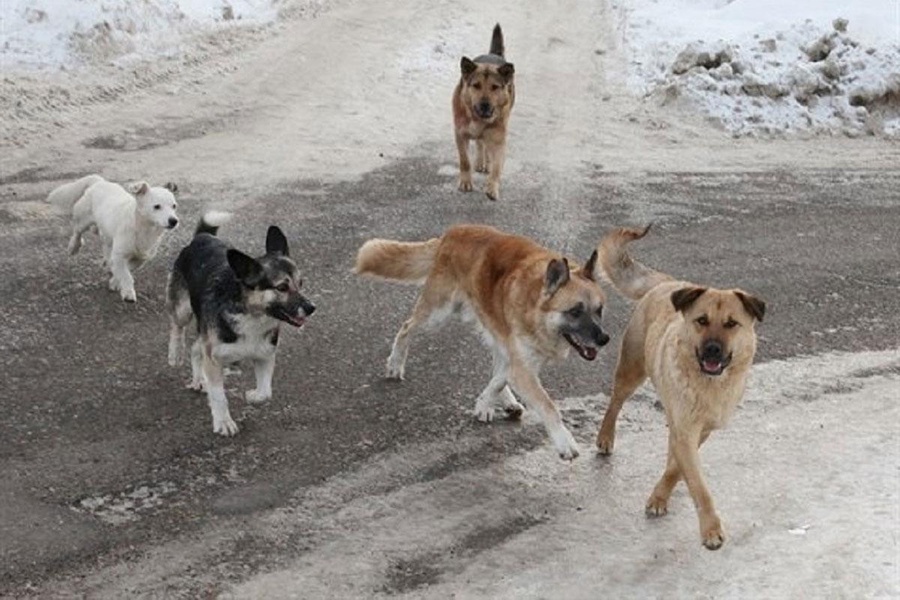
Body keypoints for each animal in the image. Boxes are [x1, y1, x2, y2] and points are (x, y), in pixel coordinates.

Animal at [48, 176, 181, 302]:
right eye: (157, 206)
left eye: (174, 206)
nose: (174, 221)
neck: (145, 229)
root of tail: (99, 181)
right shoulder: (119, 255)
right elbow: (126, 275)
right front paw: (128, 293)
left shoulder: (140, 259)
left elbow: (127, 269)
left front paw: (115, 281)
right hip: (83, 220)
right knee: (77, 231)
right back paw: (74, 246)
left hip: (107, 235)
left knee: (105, 247)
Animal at [167, 214, 318, 436]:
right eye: (282, 287)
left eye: (301, 283)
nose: (311, 308)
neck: (252, 315)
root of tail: (202, 237)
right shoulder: (214, 359)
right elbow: (219, 397)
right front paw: (223, 422)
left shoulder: (265, 355)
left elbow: (266, 392)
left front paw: (253, 397)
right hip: (183, 309)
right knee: (177, 327)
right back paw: (175, 353)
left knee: (195, 349)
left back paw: (199, 379)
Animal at [356, 225, 612, 460]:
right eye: (575, 311)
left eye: (599, 310)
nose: (604, 339)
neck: (537, 307)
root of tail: (454, 232)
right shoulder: (522, 366)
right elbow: (548, 405)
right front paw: (564, 442)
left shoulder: (521, 359)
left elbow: (499, 378)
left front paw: (484, 403)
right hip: (437, 313)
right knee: (406, 328)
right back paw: (395, 363)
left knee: (498, 365)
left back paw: (506, 401)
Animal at [454, 23, 516, 202]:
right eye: (476, 85)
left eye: (495, 87)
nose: (485, 105)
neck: (478, 118)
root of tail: (492, 54)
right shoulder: (460, 134)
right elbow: (465, 161)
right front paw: (466, 182)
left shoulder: (499, 140)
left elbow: (496, 167)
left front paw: (492, 188)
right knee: (480, 144)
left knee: (485, 146)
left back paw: (486, 162)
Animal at [592, 225, 768, 548]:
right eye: (702, 320)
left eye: (731, 324)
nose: (712, 350)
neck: (708, 384)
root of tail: (669, 284)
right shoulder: (686, 428)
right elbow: (699, 485)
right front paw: (710, 529)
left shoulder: (701, 429)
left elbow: (676, 468)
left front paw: (662, 494)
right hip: (631, 370)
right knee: (615, 402)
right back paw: (605, 437)